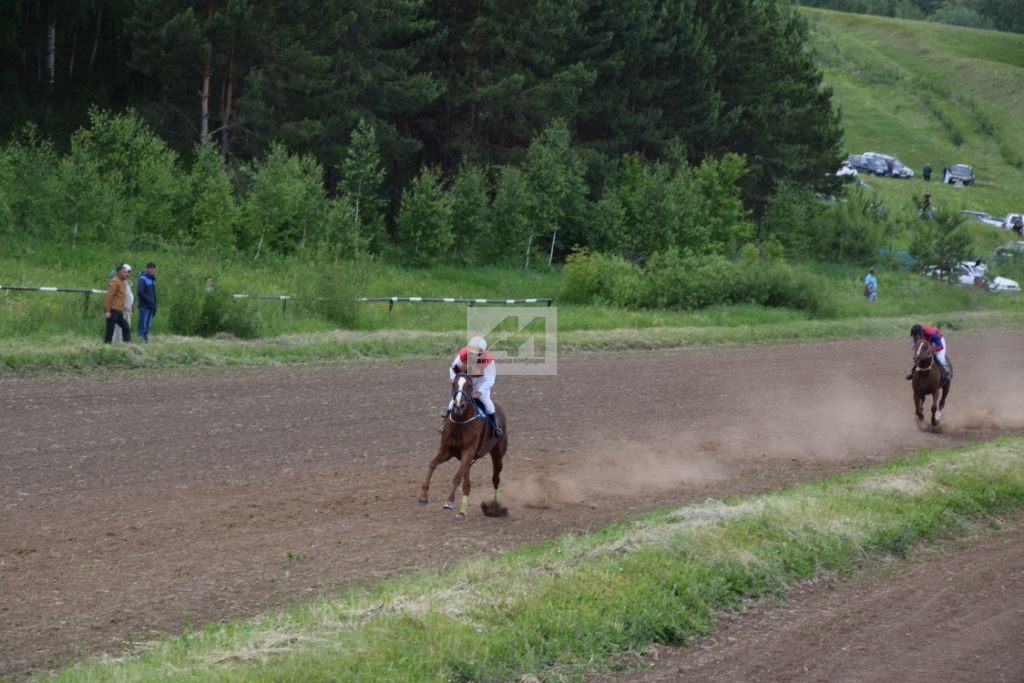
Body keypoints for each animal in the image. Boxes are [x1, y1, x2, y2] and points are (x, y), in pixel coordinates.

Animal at [419, 374, 507, 518]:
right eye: (453, 384)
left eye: (470, 386)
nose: (458, 406)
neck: (460, 423)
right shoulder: (446, 450)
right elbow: (432, 464)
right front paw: (423, 496)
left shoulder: (468, 451)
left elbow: (457, 477)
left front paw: (449, 501)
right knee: (467, 483)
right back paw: (462, 512)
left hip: (497, 454)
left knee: (495, 478)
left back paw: (494, 507)